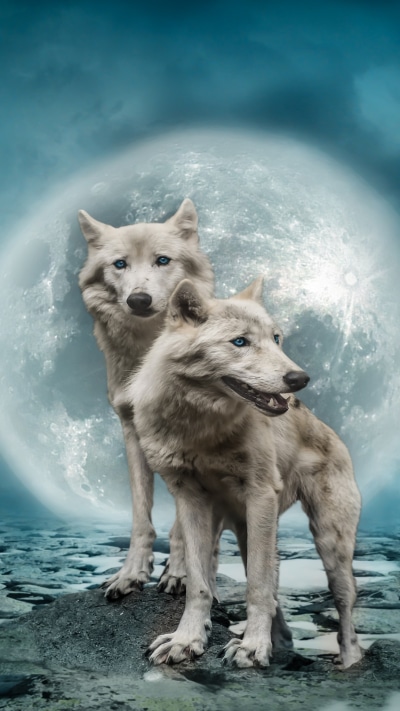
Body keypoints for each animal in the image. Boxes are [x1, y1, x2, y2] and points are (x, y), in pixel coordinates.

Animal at [78, 199, 214, 598]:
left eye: (162, 260)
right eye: (120, 264)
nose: (138, 299)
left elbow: (185, 524)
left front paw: (180, 573)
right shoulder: (131, 430)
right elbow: (141, 516)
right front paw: (131, 574)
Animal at [129, 277, 363, 669]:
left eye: (277, 339)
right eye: (240, 342)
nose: (299, 378)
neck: (201, 429)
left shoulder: (260, 495)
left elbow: (256, 586)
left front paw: (252, 647)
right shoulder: (188, 498)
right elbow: (198, 582)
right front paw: (187, 640)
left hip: (329, 542)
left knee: (344, 605)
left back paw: (347, 661)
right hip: (243, 531)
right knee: (274, 595)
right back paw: (279, 642)